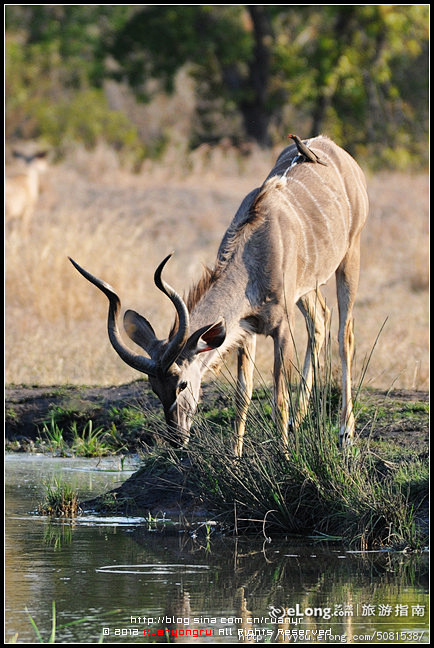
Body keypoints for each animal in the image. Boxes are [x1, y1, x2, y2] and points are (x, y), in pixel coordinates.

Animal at [69, 134, 368, 456]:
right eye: (153, 388)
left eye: (182, 384)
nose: (177, 438)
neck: (255, 251)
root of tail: (332, 147)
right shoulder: (245, 329)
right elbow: (243, 394)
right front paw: (235, 457)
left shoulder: (281, 328)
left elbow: (279, 397)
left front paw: (284, 455)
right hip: (307, 288)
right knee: (321, 319)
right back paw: (298, 422)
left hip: (350, 258)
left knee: (345, 335)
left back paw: (345, 431)